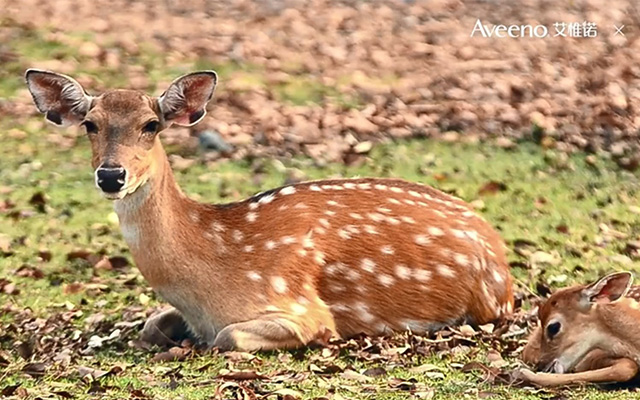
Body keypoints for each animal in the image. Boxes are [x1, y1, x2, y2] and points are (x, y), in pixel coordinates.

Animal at [25, 70, 516, 352]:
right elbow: (151, 326)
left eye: (151, 125)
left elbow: (229, 336)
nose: (111, 175)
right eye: (90, 124)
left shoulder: (299, 306)